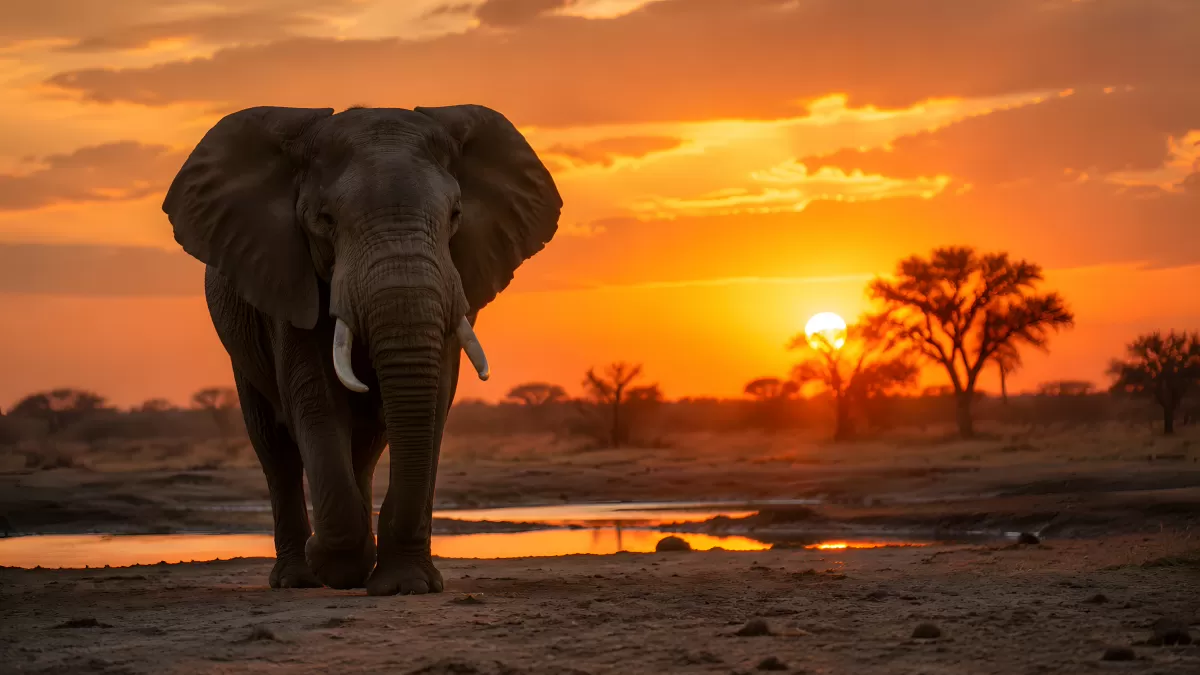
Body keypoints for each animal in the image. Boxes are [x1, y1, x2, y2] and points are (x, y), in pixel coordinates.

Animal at [162, 104, 561, 595]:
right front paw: (329, 564)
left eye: (455, 215)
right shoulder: (287, 278)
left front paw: (406, 585)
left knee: (366, 445)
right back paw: (297, 579)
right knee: (275, 448)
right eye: (326, 220)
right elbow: (316, 397)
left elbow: (434, 401)